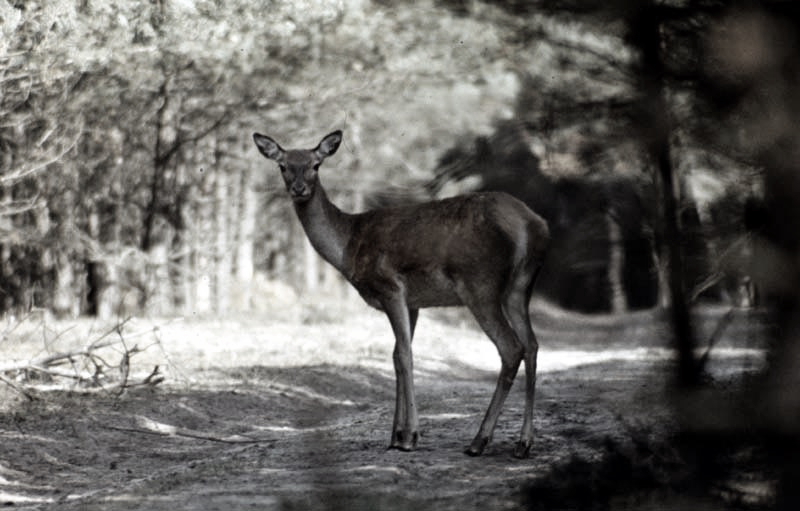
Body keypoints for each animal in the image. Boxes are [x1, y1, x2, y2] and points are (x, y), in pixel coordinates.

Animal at [253, 130, 548, 458]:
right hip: (519, 288)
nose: (299, 188)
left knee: (511, 348)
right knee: (532, 345)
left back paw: (479, 440)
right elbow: (396, 355)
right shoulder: (413, 303)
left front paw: (410, 436)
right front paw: (395, 434)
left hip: (480, 284)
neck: (348, 246)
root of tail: (531, 226)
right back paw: (523, 442)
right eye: (283, 166)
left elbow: (405, 355)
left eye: (316, 165)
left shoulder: (390, 286)